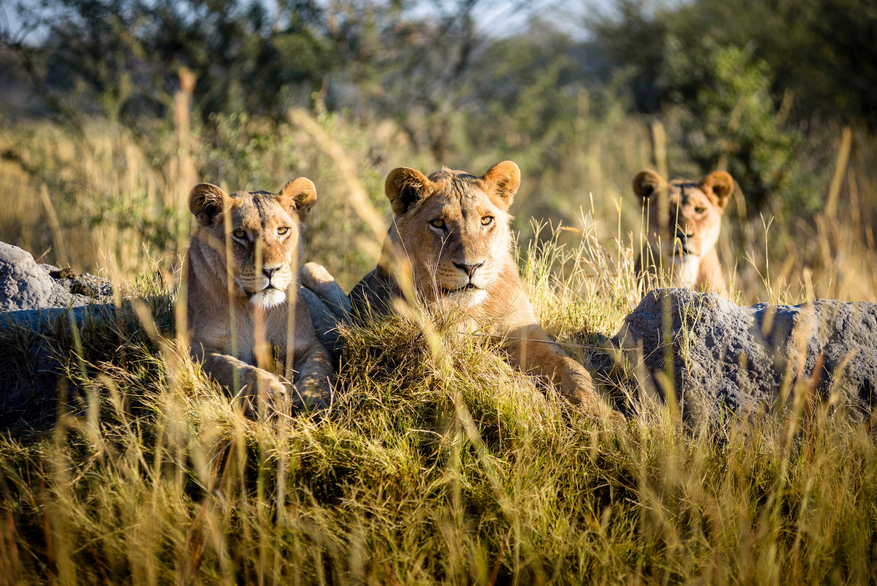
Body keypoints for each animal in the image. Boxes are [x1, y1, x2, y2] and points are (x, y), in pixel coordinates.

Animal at [186, 178, 334, 406]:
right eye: (239, 234)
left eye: (282, 230)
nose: (271, 270)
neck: (254, 309)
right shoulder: (198, 347)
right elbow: (231, 368)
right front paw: (272, 392)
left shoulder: (307, 343)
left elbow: (319, 367)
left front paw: (313, 397)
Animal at [346, 157, 620, 418]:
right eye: (438, 223)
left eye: (486, 220)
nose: (470, 267)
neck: (476, 309)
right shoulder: (442, 339)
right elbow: (498, 368)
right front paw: (538, 404)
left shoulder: (524, 332)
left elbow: (572, 367)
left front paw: (603, 415)